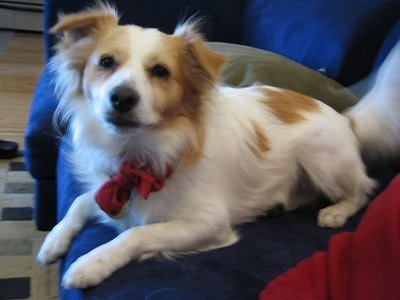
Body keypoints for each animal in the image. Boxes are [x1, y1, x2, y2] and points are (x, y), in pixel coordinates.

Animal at [36, 4, 400, 288]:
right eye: (106, 62)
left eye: (160, 71)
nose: (122, 97)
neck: (140, 154)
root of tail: (345, 118)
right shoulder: (109, 190)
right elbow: (82, 201)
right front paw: (54, 240)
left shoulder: (209, 224)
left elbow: (136, 234)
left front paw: (92, 263)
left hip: (322, 159)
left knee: (363, 190)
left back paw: (336, 211)